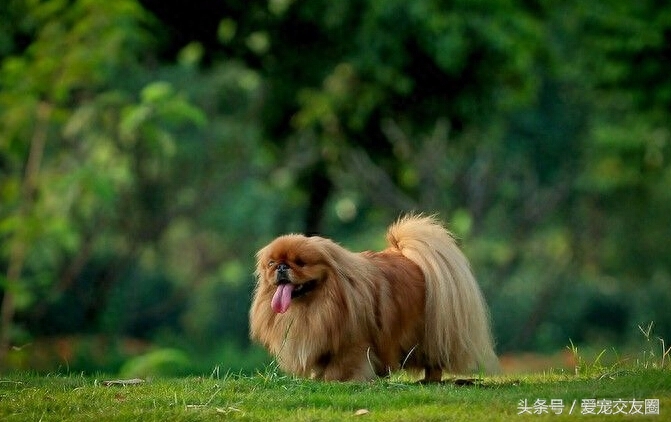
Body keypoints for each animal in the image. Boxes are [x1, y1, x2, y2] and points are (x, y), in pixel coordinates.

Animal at [252, 216, 498, 380]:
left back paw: (430, 381)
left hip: (430, 333)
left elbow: (341, 368)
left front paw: (337, 381)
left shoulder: (354, 343)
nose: (282, 267)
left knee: (435, 361)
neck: (316, 305)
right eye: (272, 263)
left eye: (300, 263)